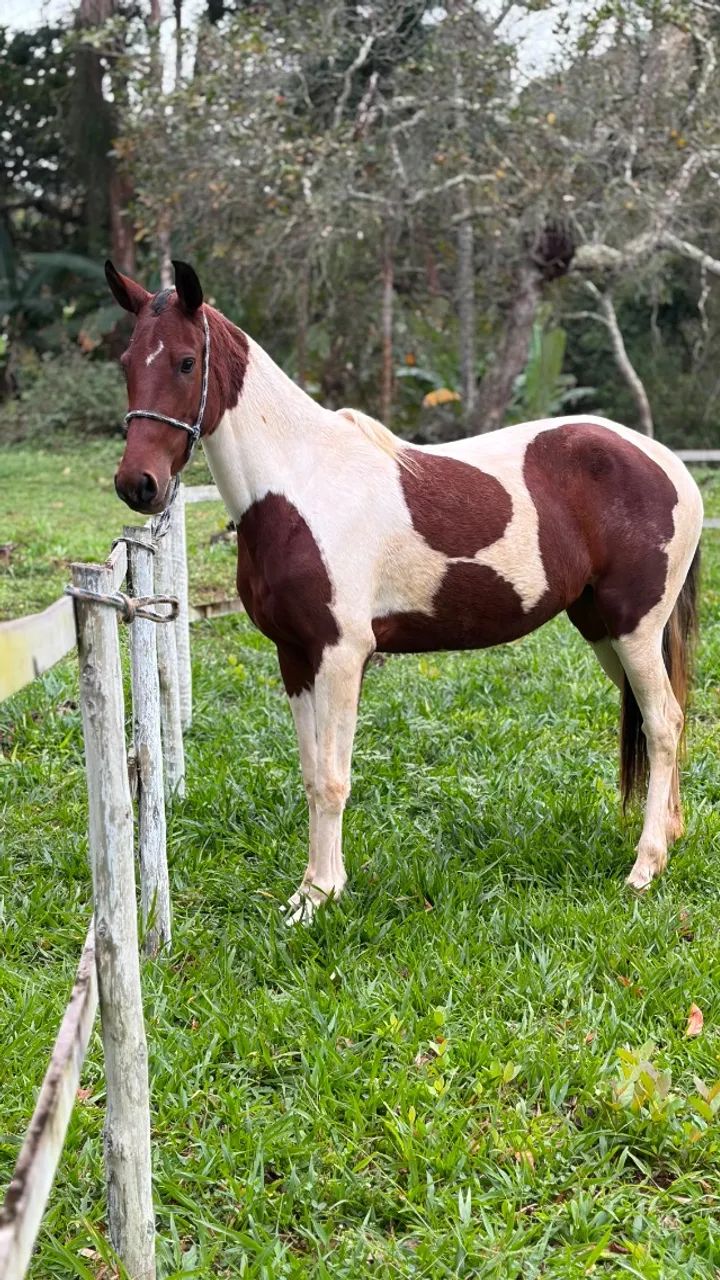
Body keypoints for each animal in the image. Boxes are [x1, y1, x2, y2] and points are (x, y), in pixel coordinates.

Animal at [107, 258, 703, 923]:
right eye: (128, 361)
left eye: (186, 362)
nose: (138, 484)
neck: (298, 488)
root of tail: (668, 465)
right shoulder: (295, 656)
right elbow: (310, 773)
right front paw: (304, 892)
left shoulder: (342, 655)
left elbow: (333, 778)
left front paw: (322, 895)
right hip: (601, 628)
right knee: (657, 722)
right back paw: (667, 839)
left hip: (635, 628)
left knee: (664, 723)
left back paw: (644, 868)